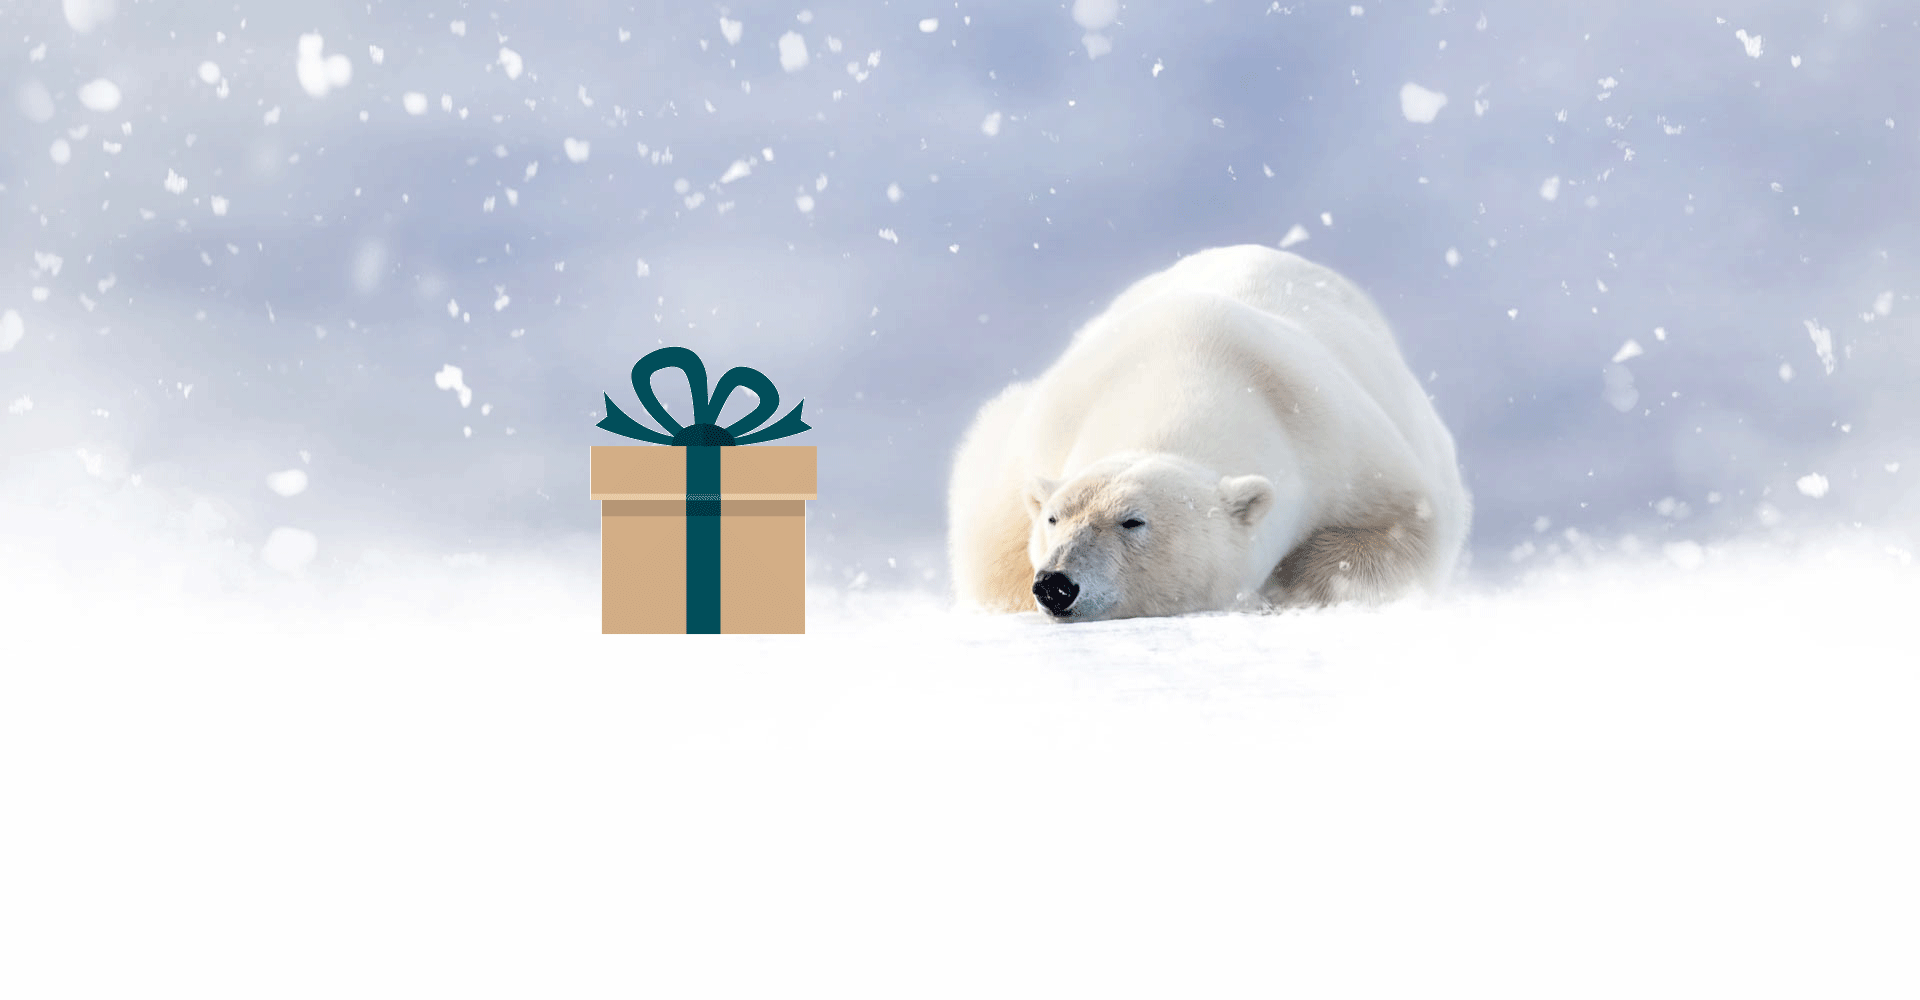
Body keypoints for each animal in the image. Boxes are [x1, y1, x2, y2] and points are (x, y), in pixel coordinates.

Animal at [946, 244, 1470, 621]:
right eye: (1053, 518)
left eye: (1133, 521)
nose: (1056, 583)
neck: (1191, 359)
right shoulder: (1047, 426)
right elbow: (995, 557)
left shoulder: (1338, 437)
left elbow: (1404, 527)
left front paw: (1280, 590)